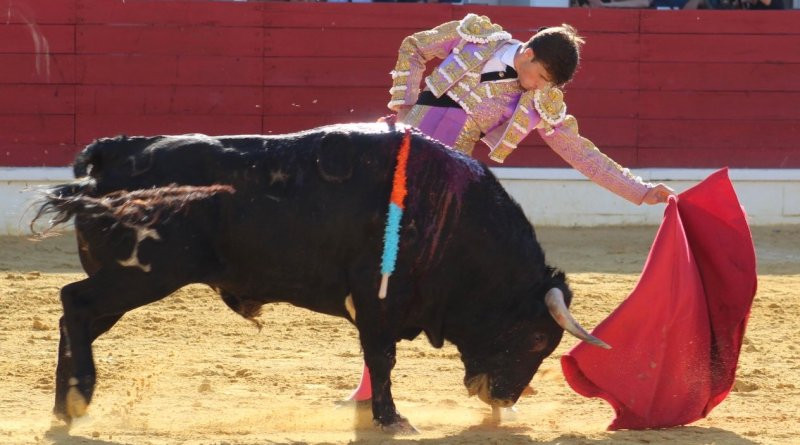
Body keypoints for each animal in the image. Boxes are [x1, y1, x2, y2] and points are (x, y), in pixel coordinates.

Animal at [32, 121, 608, 430]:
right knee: (74, 302)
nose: (503, 399)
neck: (449, 215)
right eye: (537, 338)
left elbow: (376, 359)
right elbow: (382, 357)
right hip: (141, 274)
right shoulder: (378, 300)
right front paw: (391, 419)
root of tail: (111, 153)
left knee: (74, 318)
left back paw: (67, 406)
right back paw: (77, 398)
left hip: (127, 281)